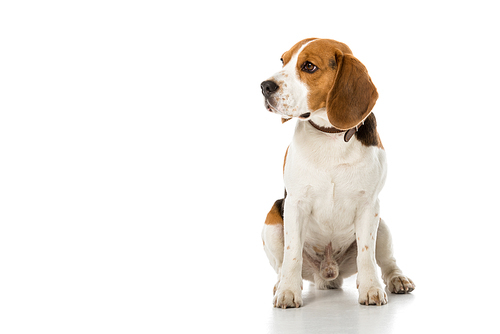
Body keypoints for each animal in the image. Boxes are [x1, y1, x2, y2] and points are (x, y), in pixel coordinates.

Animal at [262, 37, 414, 308]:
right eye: (283, 60)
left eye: (309, 66)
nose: (264, 86)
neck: (330, 135)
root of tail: (327, 273)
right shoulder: (295, 204)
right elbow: (292, 254)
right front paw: (288, 291)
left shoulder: (368, 205)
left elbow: (366, 254)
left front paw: (371, 288)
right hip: (272, 220)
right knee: (281, 264)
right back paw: (281, 284)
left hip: (382, 225)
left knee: (386, 261)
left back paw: (397, 279)